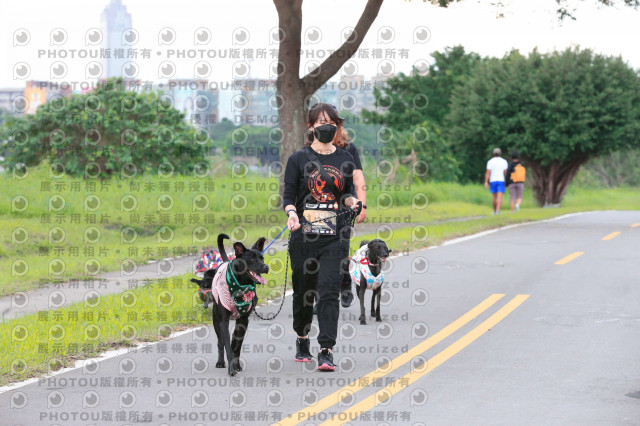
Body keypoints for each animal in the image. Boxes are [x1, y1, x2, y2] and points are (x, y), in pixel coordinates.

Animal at [190, 233, 268, 376]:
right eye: (252, 259)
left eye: (262, 258)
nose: (266, 267)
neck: (240, 285)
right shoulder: (223, 321)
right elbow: (226, 344)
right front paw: (231, 368)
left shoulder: (243, 321)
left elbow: (236, 346)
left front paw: (236, 365)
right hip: (216, 319)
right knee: (220, 342)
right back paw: (220, 362)